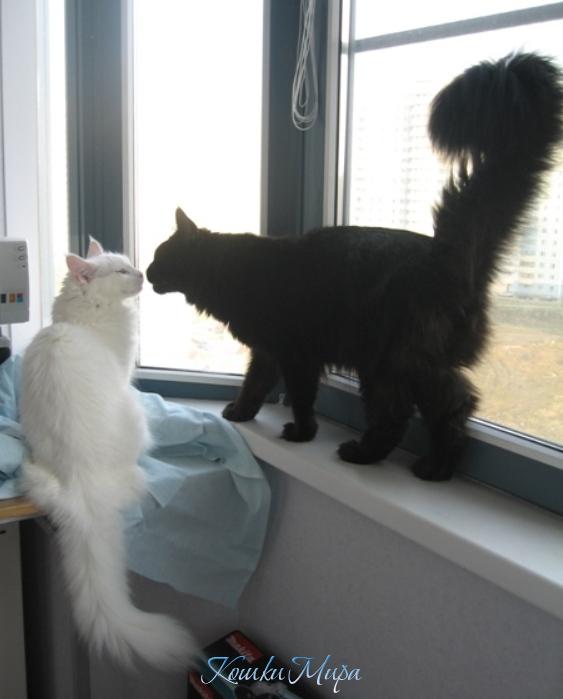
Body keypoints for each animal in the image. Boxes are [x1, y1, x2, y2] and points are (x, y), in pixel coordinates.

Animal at [20, 239, 195, 669]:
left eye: (129, 265)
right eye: (120, 272)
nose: (141, 274)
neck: (84, 317)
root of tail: (80, 485)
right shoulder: (123, 370)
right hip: (134, 411)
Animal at [146, 53, 563, 481]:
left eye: (160, 256)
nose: (146, 272)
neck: (231, 271)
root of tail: (444, 253)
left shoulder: (296, 352)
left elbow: (300, 396)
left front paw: (301, 433)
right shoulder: (268, 350)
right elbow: (255, 384)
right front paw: (241, 413)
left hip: (392, 363)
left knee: (421, 411)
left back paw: (393, 459)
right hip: (401, 364)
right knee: (449, 404)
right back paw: (425, 462)